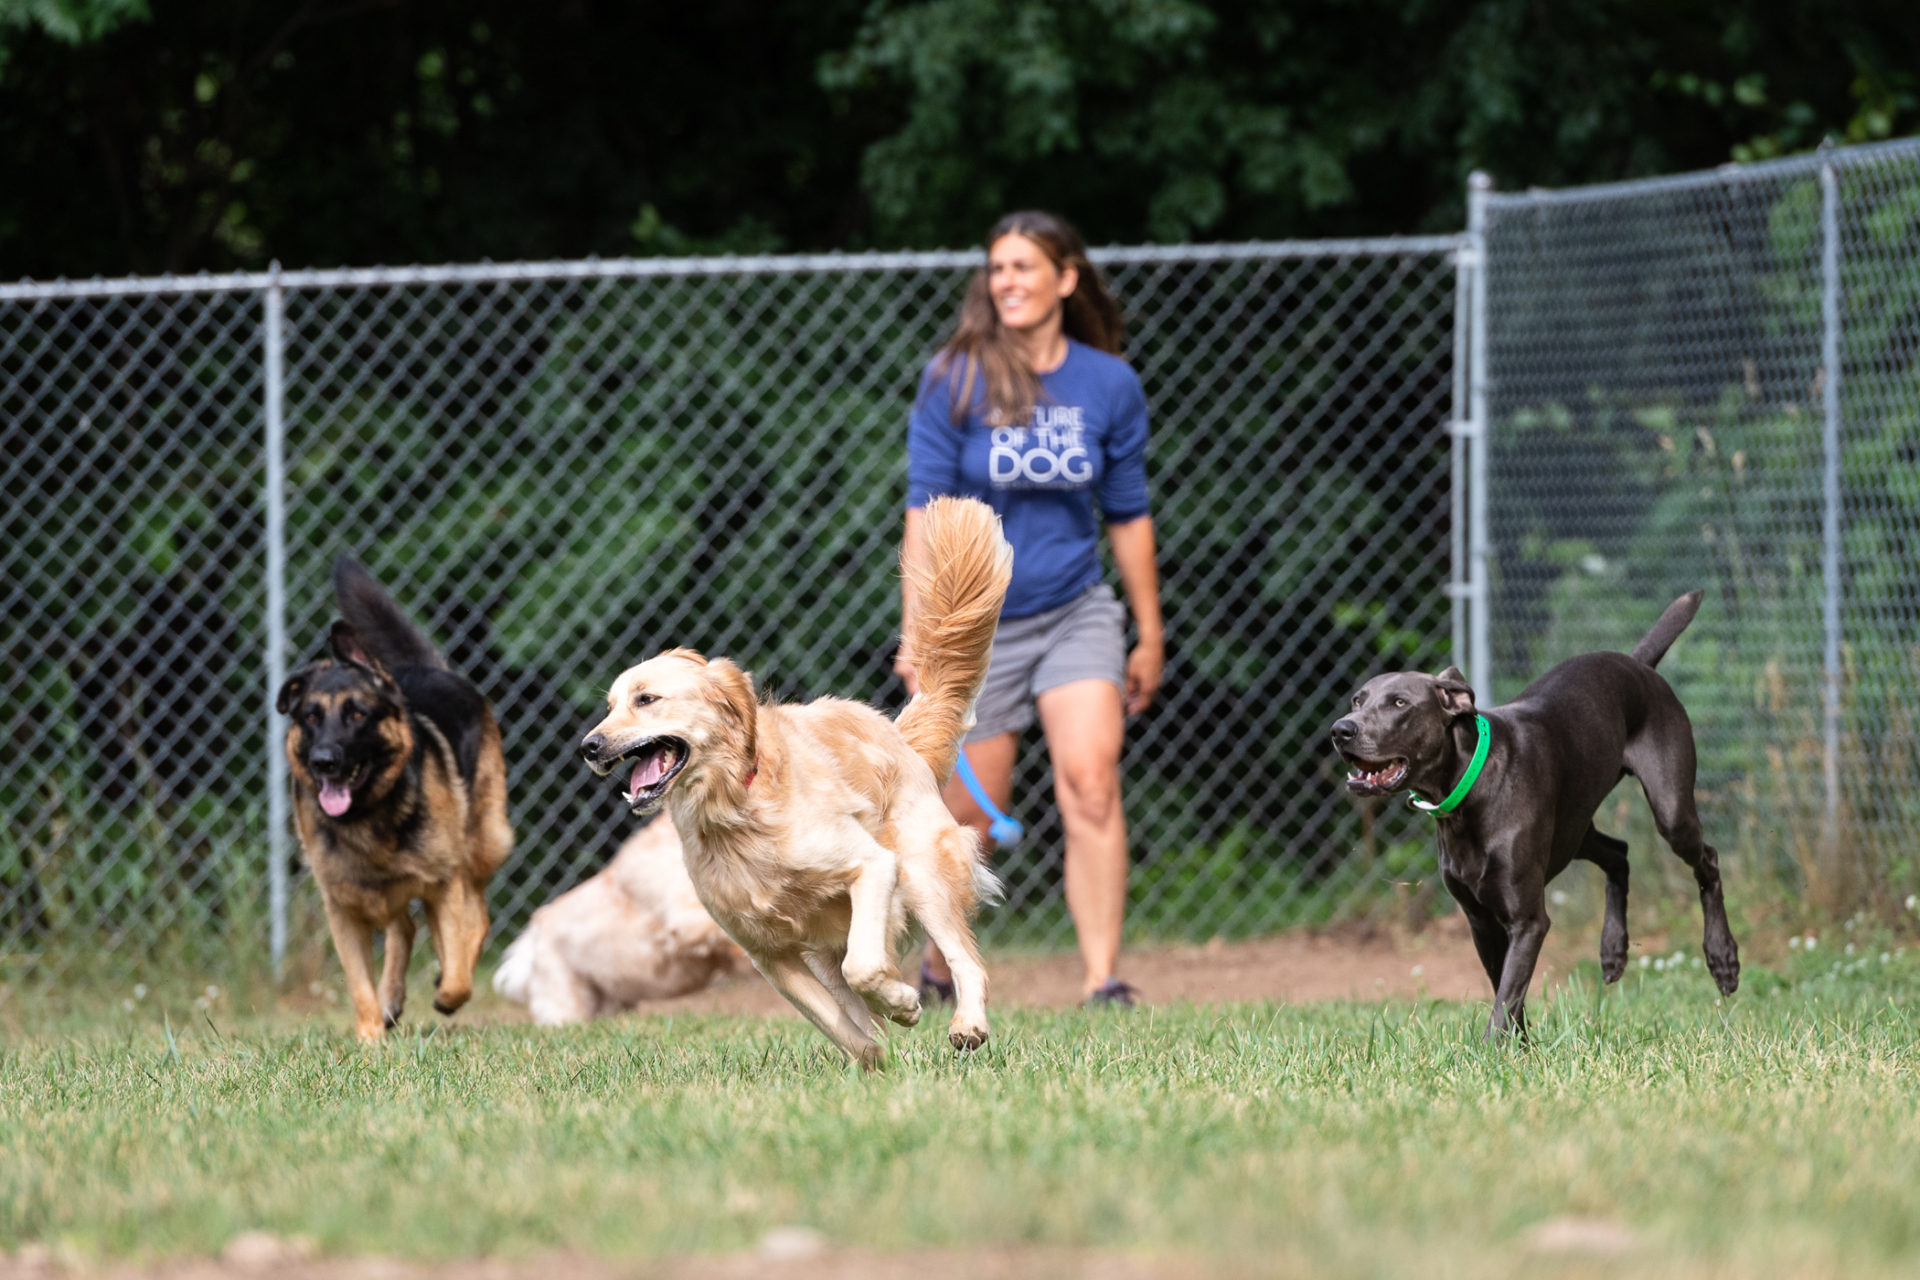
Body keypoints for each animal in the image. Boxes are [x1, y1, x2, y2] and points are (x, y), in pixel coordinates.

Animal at [576, 495, 1013, 1066]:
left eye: (646, 699)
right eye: (609, 707)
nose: (589, 746)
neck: (735, 811)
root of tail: (897, 734)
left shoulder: (872, 866)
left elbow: (865, 967)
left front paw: (901, 1003)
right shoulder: (769, 953)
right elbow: (840, 1023)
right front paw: (875, 1058)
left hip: (921, 873)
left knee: (966, 962)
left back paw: (967, 1025)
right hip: (830, 943)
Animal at [1336, 594, 1743, 1036]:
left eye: (1400, 703)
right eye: (1358, 700)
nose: (1341, 730)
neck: (1467, 793)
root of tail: (1638, 665)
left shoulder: (1528, 921)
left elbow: (1506, 998)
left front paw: (1494, 1048)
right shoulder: (1481, 922)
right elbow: (1507, 993)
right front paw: (1522, 1044)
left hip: (1670, 811)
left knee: (1707, 859)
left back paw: (1723, 959)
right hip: (1574, 831)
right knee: (1619, 853)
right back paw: (1613, 950)